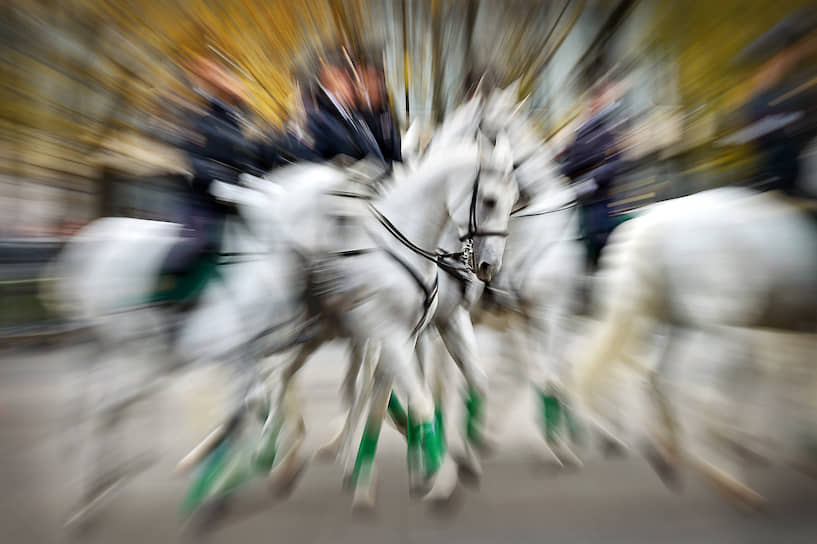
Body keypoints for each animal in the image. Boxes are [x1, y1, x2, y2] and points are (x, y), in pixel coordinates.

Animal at [572, 187, 816, 510]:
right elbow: (792, 376)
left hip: (682, 323)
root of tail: (651, 227)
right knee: (705, 395)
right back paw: (729, 481)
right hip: (718, 327)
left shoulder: (788, 326)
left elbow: (788, 375)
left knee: (660, 377)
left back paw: (668, 452)